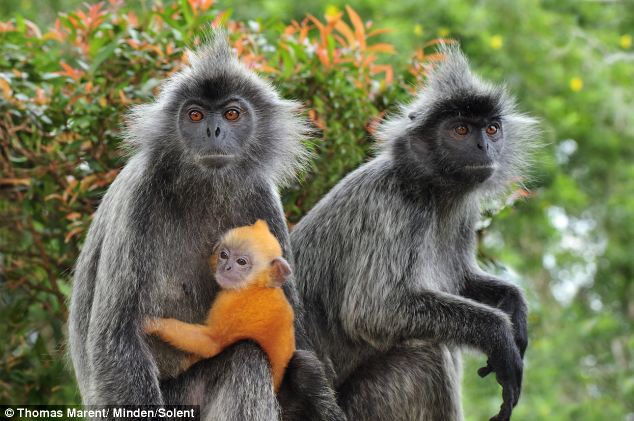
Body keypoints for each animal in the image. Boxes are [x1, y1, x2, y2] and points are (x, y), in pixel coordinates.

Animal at [143, 220, 294, 390]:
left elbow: (211, 343)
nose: (226, 267)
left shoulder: (231, 303)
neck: (254, 287)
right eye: (224, 255)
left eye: (241, 262)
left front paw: (153, 324)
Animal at [288, 46, 536, 420]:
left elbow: (460, 280)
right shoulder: (392, 205)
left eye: (492, 129)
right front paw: (499, 335)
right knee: (425, 354)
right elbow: (374, 310)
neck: (431, 188)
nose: (484, 147)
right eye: (460, 130)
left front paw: (514, 306)